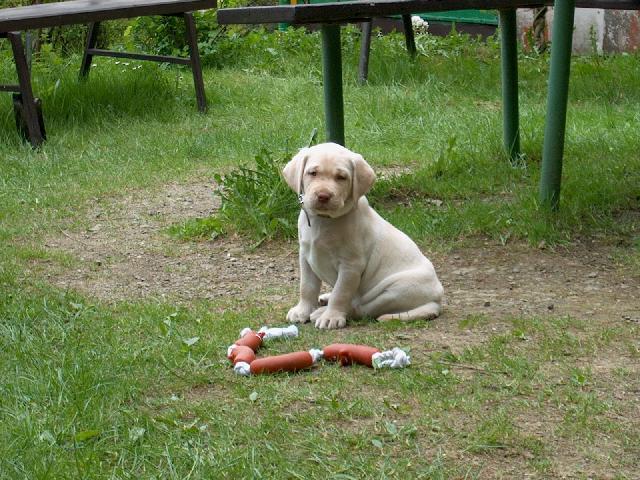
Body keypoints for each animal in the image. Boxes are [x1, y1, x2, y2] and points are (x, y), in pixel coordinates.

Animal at [282, 142, 442, 328]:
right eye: (312, 173)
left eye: (341, 177)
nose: (323, 196)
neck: (324, 221)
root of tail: (436, 301)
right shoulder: (306, 257)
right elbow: (307, 287)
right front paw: (302, 310)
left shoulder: (351, 266)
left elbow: (341, 293)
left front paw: (331, 317)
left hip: (394, 289)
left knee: (361, 307)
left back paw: (324, 312)